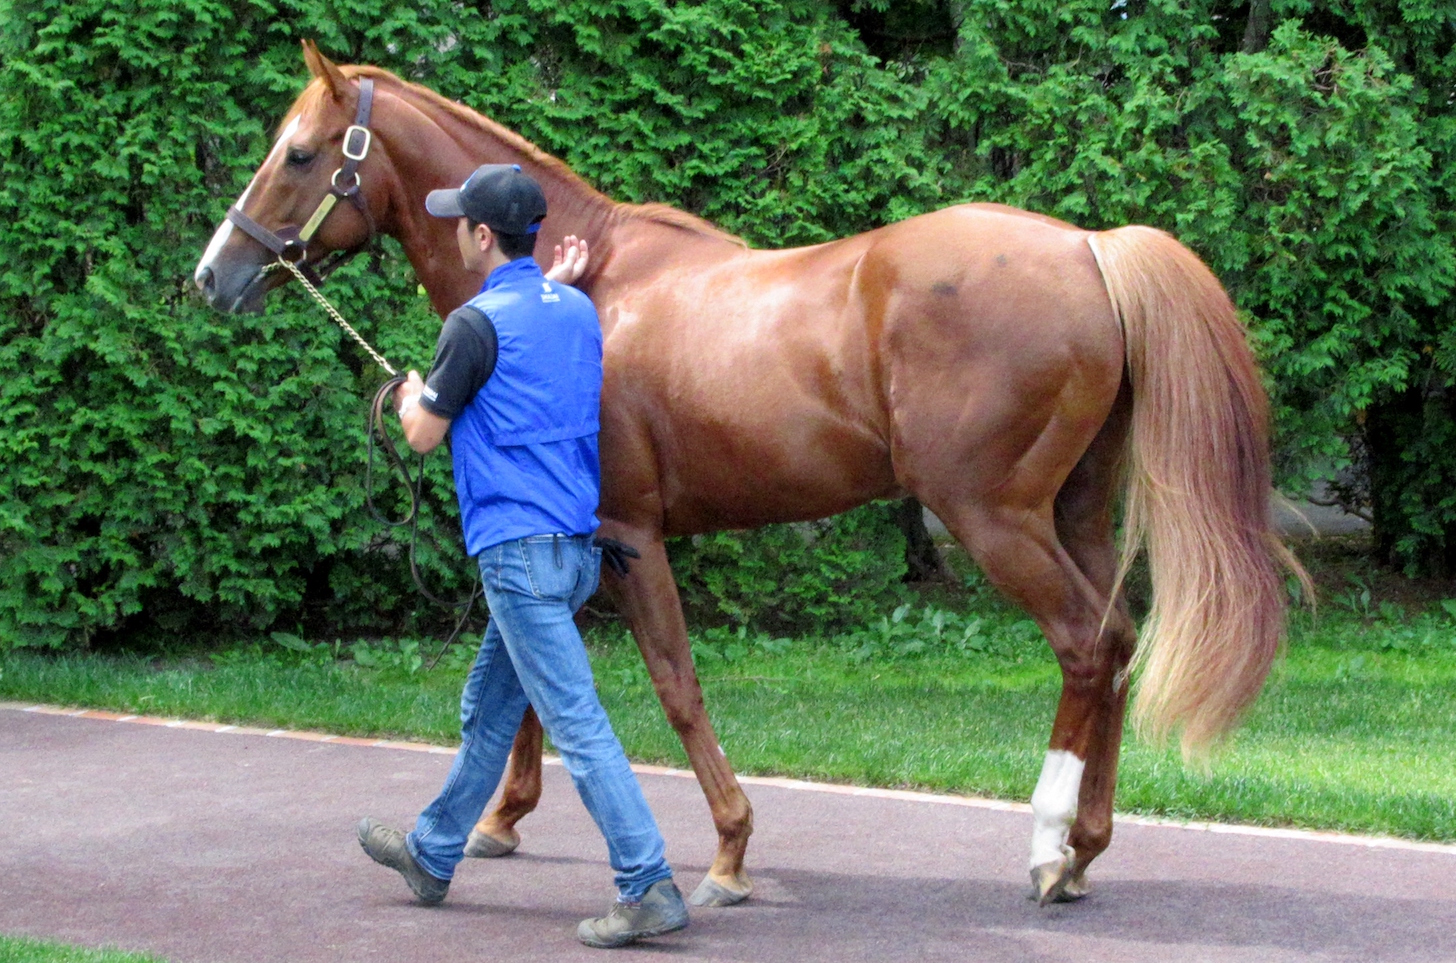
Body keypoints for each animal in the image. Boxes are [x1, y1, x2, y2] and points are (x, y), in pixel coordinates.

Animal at [193, 45, 1298, 909]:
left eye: (299, 153)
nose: (215, 274)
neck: (576, 279)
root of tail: (1090, 248)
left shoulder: (630, 534)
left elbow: (672, 685)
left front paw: (727, 849)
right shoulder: (573, 536)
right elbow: (533, 680)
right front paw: (502, 819)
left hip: (993, 518)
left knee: (1085, 643)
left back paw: (1045, 847)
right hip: (1072, 513)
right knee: (1116, 643)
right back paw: (1083, 852)